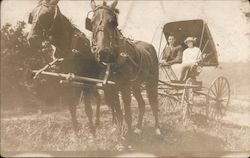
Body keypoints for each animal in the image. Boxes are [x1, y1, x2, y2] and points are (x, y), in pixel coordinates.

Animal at [26, 0, 106, 135]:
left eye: (47, 14)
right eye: (31, 15)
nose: (32, 39)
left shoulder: (85, 82)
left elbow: (87, 109)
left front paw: (92, 134)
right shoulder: (67, 82)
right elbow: (71, 108)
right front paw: (77, 133)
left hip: (94, 82)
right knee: (98, 97)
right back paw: (97, 122)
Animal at [89, 0, 161, 136]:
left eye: (113, 22)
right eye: (91, 22)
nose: (102, 52)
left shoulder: (125, 87)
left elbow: (127, 115)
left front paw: (129, 135)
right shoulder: (112, 88)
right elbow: (117, 112)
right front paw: (120, 132)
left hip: (151, 83)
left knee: (154, 103)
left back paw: (157, 129)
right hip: (136, 85)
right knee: (142, 104)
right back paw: (138, 127)